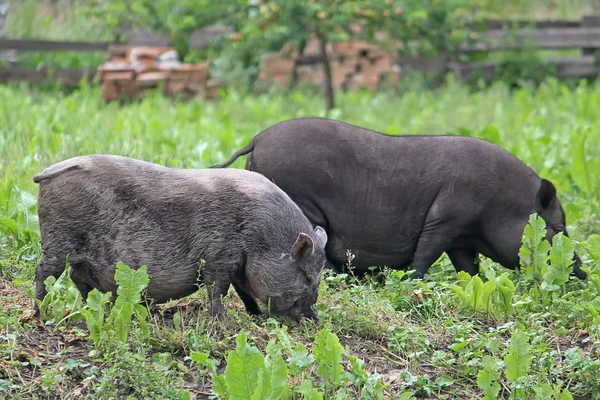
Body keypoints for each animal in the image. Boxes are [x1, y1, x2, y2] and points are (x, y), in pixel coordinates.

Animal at [34, 155, 328, 320]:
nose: (312, 317)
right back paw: (39, 312)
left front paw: (253, 316)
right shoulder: (218, 257)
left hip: (78, 255)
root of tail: (48, 172)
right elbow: (217, 290)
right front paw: (224, 321)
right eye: (307, 276)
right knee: (45, 272)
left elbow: (243, 291)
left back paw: (95, 309)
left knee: (77, 277)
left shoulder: (238, 264)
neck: (261, 237)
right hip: (58, 239)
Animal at [213, 117, 588, 280]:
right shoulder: (446, 218)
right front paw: (413, 281)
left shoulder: (462, 237)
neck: (502, 205)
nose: (583, 271)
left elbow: (468, 267)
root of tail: (258, 138)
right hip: (302, 201)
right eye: (558, 228)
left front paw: (477, 285)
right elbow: (426, 252)